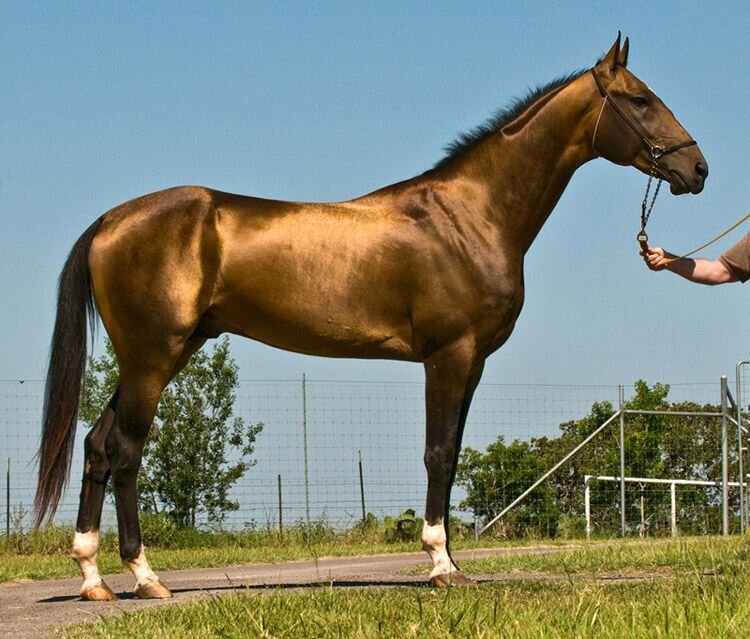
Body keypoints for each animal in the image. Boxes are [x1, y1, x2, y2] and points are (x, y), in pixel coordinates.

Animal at [35, 36, 712, 600]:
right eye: (640, 99)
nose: (698, 169)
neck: (470, 216)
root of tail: (110, 221)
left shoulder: (472, 363)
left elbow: (453, 455)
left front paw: (453, 563)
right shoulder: (449, 354)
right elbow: (437, 453)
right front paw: (439, 567)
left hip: (161, 355)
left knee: (98, 446)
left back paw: (93, 578)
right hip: (153, 358)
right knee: (126, 450)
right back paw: (145, 578)